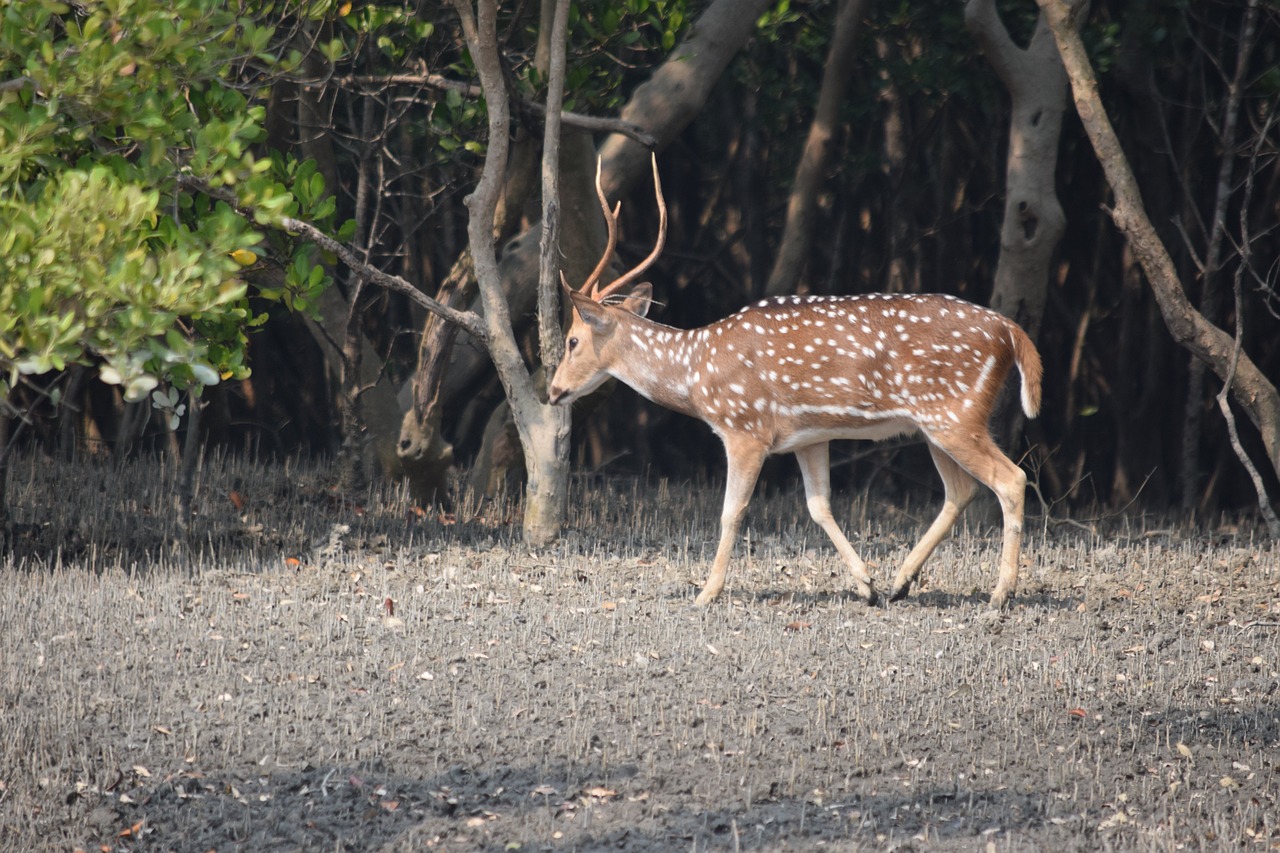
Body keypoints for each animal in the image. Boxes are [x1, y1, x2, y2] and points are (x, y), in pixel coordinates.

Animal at [547, 157, 1039, 604]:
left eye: (572, 340)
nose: (553, 391)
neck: (696, 374)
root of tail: (1010, 332)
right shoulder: (809, 435)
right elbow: (819, 507)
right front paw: (866, 584)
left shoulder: (746, 428)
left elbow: (731, 512)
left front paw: (706, 593)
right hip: (938, 424)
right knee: (961, 490)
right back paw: (901, 583)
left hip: (956, 414)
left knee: (1011, 479)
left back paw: (1001, 595)